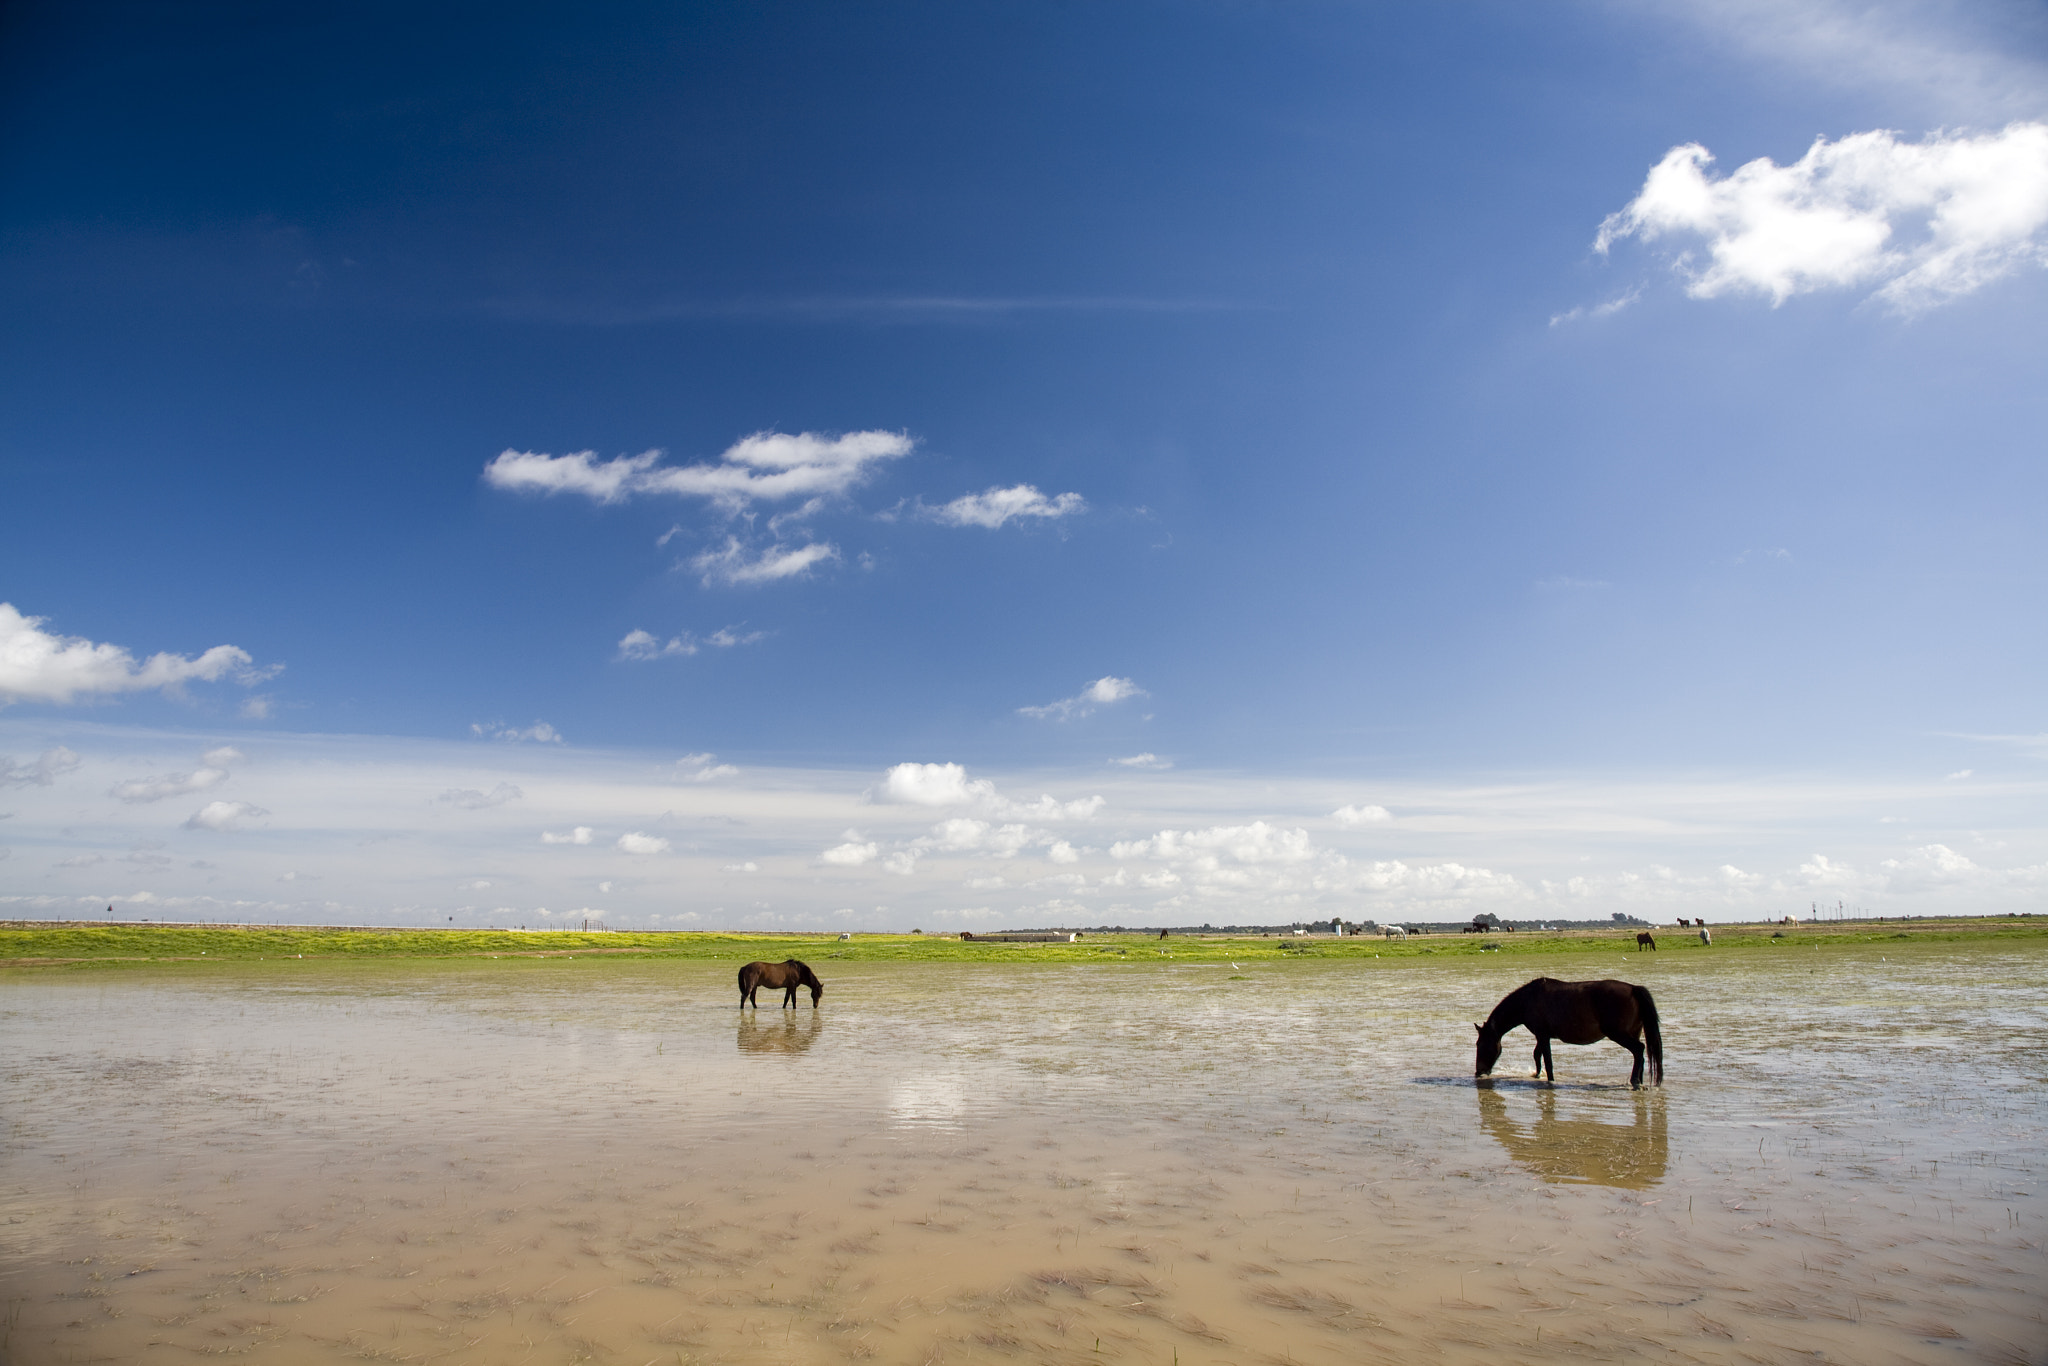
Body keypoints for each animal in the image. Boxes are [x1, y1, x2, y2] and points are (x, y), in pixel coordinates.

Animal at [1474, 977, 1663, 1088]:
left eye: (1480, 1044)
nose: (1478, 1072)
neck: (1527, 1000)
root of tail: (1633, 989)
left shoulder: (1543, 1035)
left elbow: (1547, 1059)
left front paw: (1550, 1080)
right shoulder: (1541, 1036)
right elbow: (1537, 1055)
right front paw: (1537, 1074)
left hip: (1619, 1034)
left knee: (1638, 1049)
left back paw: (1635, 1081)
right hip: (1634, 1032)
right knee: (1640, 1054)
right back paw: (1640, 1080)